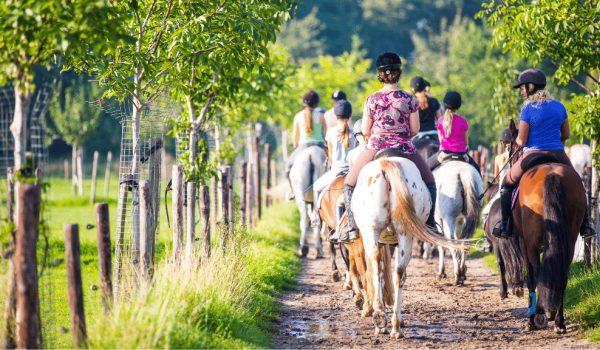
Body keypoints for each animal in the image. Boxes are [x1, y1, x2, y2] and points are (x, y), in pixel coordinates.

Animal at [316, 175, 396, 318]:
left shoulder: (350, 249)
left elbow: (352, 271)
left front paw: (357, 296)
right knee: (378, 275)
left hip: (357, 251)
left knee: (365, 277)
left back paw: (367, 308)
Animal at [352, 157, 468, 338]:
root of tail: (386, 164)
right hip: (401, 233)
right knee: (396, 272)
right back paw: (392, 324)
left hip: (378, 232)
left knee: (382, 267)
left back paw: (384, 318)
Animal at [506, 123, 584, 334]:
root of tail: (552, 174)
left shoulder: (524, 243)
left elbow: (532, 276)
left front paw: (534, 317)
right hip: (569, 238)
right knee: (562, 270)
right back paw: (559, 321)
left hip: (532, 242)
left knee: (539, 272)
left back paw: (537, 317)